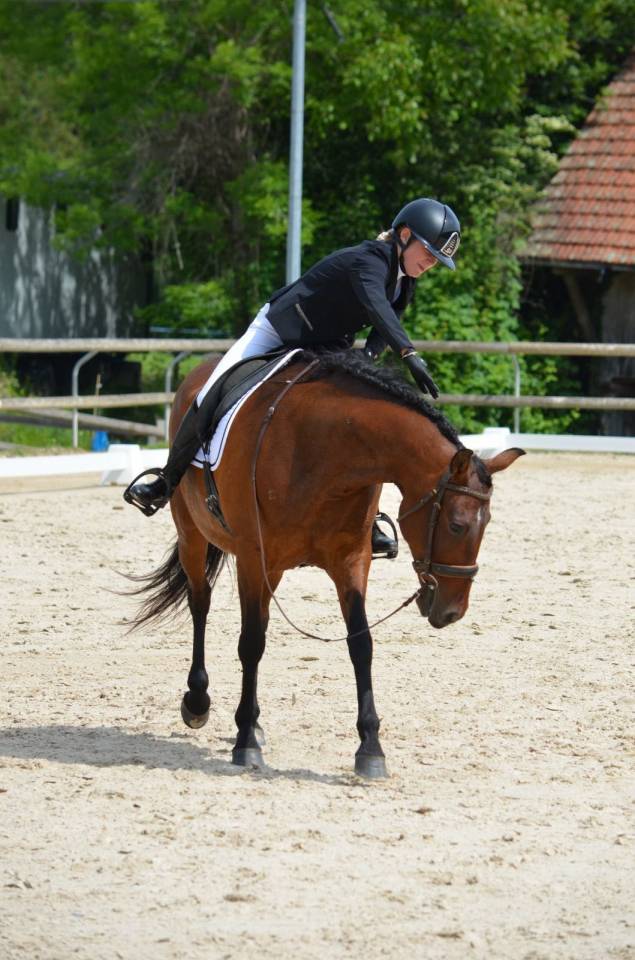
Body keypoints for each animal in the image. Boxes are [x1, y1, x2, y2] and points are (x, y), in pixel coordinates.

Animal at [129, 351, 524, 778]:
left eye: (487, 523)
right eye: (456, 524)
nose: (452, 611)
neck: (327, 452)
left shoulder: (350, 561)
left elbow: (360, 644)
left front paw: (370, 747)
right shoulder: (253, 556)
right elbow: (251, 644)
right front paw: (245, 741)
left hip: (271, 570)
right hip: (193, 533)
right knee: (200, 601)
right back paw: (198, 701)